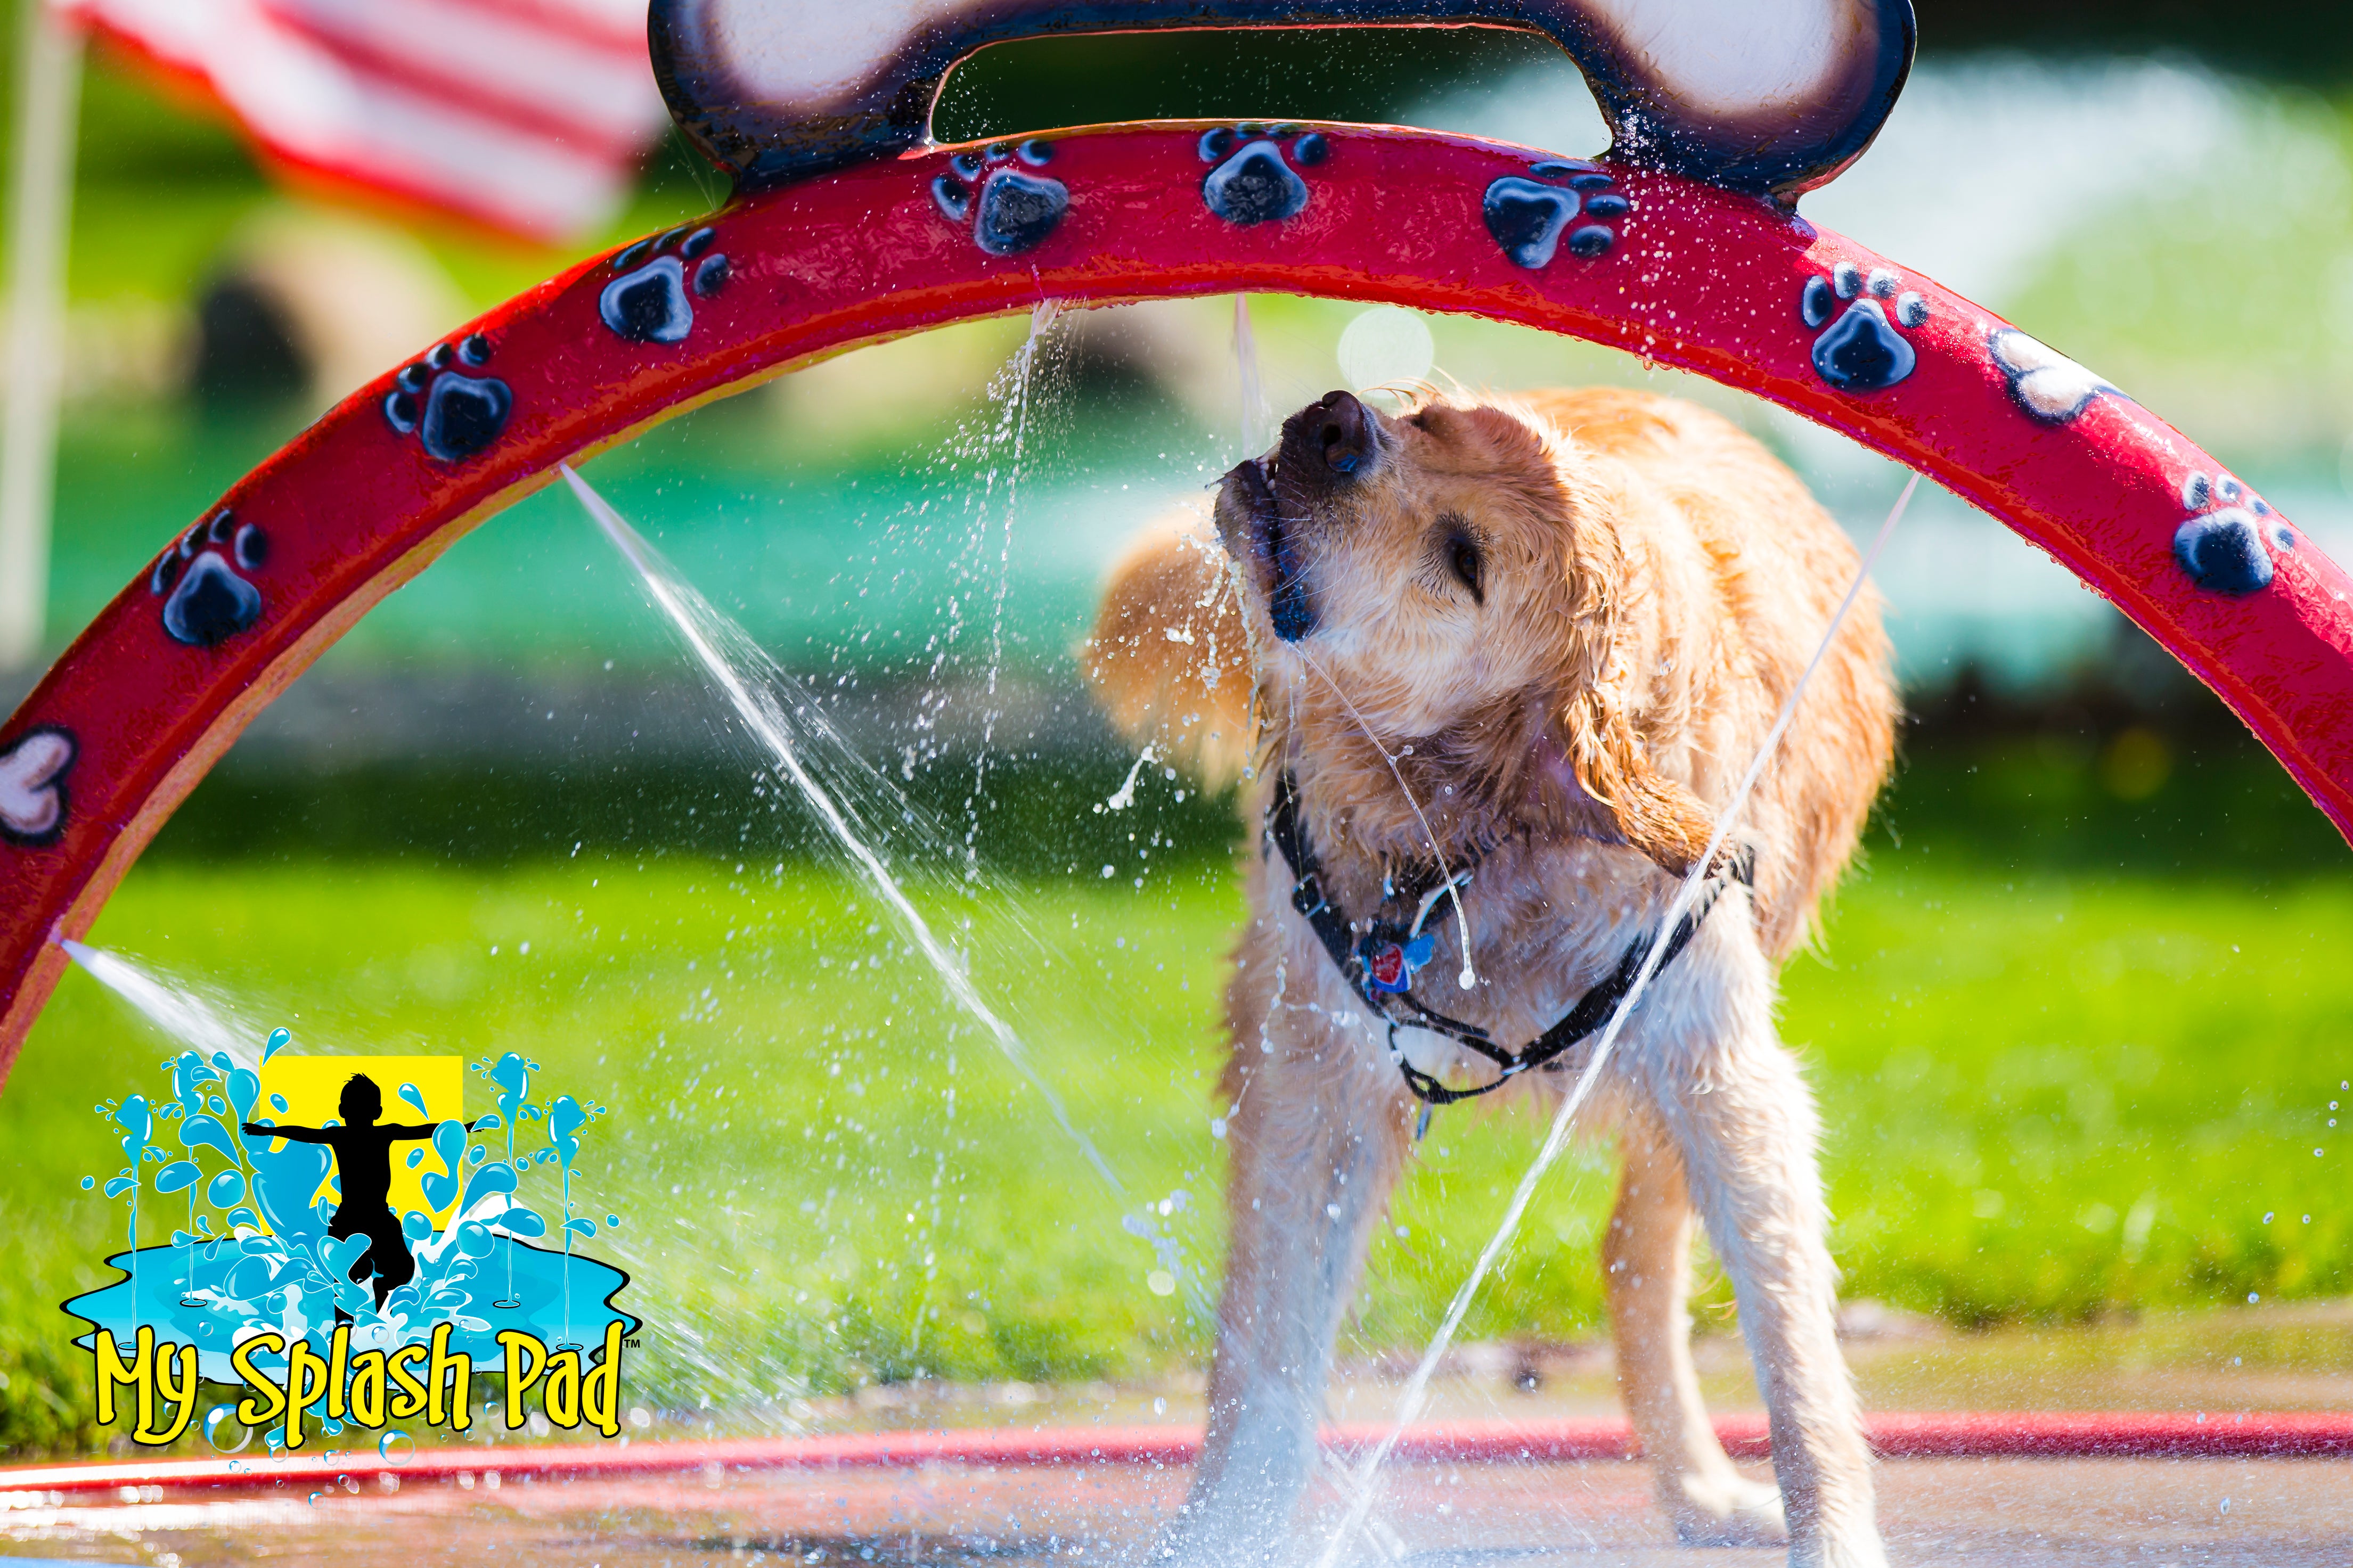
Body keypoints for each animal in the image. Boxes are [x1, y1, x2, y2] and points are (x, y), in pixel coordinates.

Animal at [1091, 383, 1901, 1568]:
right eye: (1429, 421)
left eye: (1465, 557)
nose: (1335, 421)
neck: (1471, 834)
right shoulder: (1310, 1078)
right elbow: (1268, 1354)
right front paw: (1224, 1532)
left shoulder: (1722, 1073)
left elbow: (1797, 1364)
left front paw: (1832, 1535)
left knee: (1633, 1255)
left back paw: (1702, 1489)